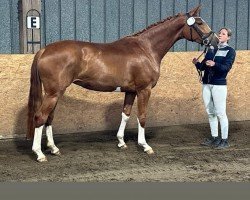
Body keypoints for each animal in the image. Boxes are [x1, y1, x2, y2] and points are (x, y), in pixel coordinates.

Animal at [27, 5, 219, 162]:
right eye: (199, 22)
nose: (216, 41)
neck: (146, 49)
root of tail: (44, 50)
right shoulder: (144, 90)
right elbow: (142, 116)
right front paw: (145, 146)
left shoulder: (131, 91)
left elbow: (125, 114)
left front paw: (121, 142)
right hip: (53, 93)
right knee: (40, 117)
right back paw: (39, 154)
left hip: (55, 93)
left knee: (49, 118)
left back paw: (53, 148)